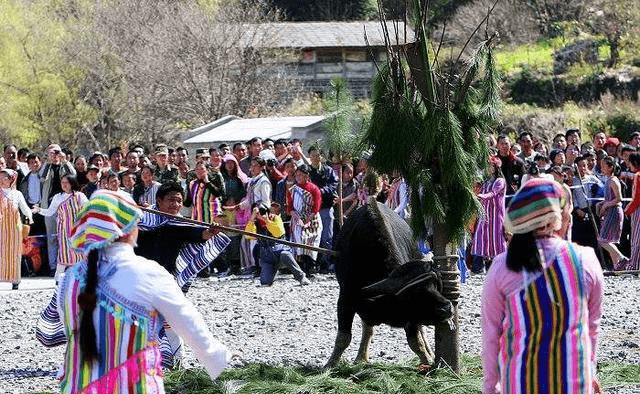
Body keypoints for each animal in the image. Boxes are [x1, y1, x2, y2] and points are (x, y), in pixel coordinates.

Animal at [324, 199, 456, 368]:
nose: (447, 307)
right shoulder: (346, 299)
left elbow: (415, 341)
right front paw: (330, 364)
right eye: (414, 294)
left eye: (434, 284)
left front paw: (428, 361)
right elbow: (344, 337)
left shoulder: (411, 317)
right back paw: (361, 357)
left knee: (421, 331)